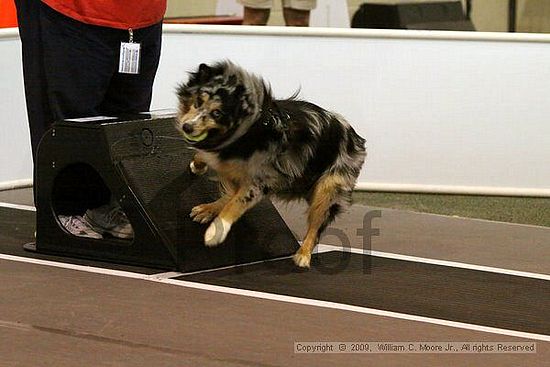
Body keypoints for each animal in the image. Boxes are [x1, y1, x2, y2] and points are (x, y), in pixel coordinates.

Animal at [177, 59, 366, 268]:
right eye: (197, 102)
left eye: (217, 113)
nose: (187, 127)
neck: (247, 130)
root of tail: (356, 137)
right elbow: (213, 168)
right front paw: (198, 165)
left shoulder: (260, 179)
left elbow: (236, 203)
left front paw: (215, 232)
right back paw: (208, 209)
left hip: (327, 188)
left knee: (316, 226)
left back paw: (303, 255)